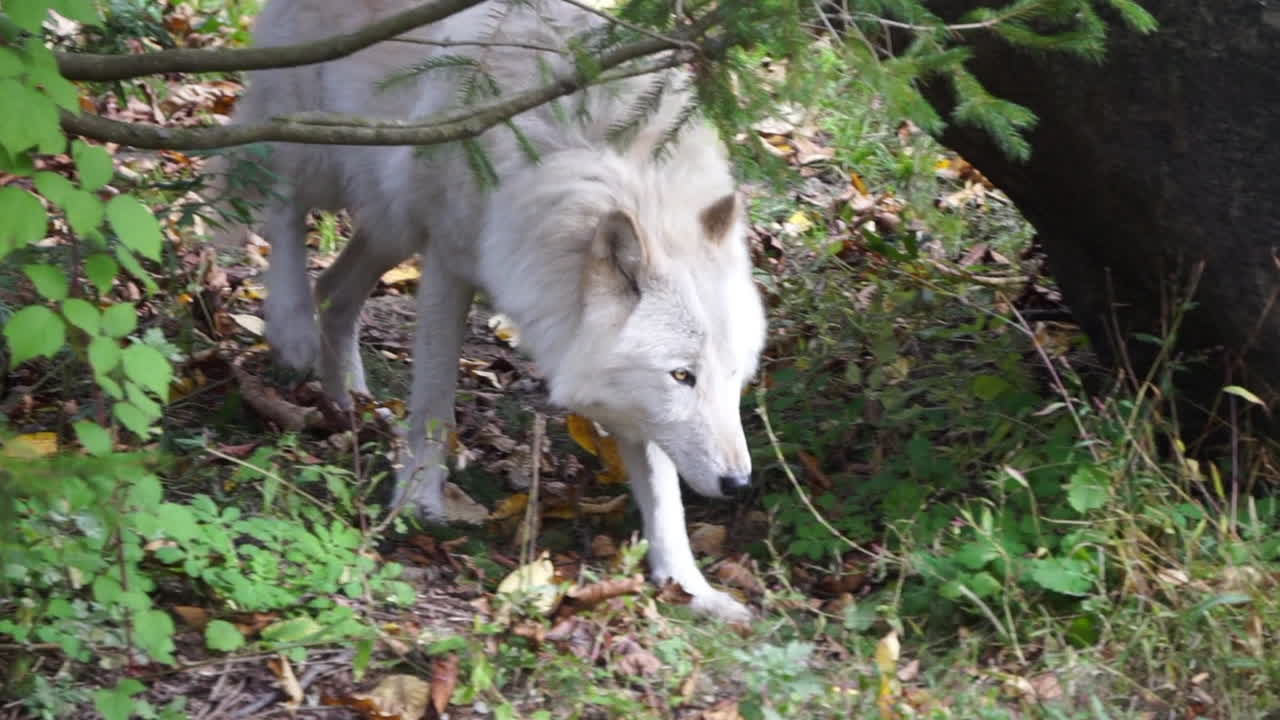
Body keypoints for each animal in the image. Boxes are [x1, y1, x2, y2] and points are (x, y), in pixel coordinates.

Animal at [228, 0, 767, 621]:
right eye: (682, 376)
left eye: (733, 378)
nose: (739, 483)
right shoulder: (448, 262)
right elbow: (433, 405)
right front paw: (417, 500)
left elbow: (662, 490)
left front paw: (689, 586)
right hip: (321, 152)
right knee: (276, 200)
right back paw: (291, 327)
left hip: (392, 223)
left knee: (336, 291)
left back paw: (350, 404)